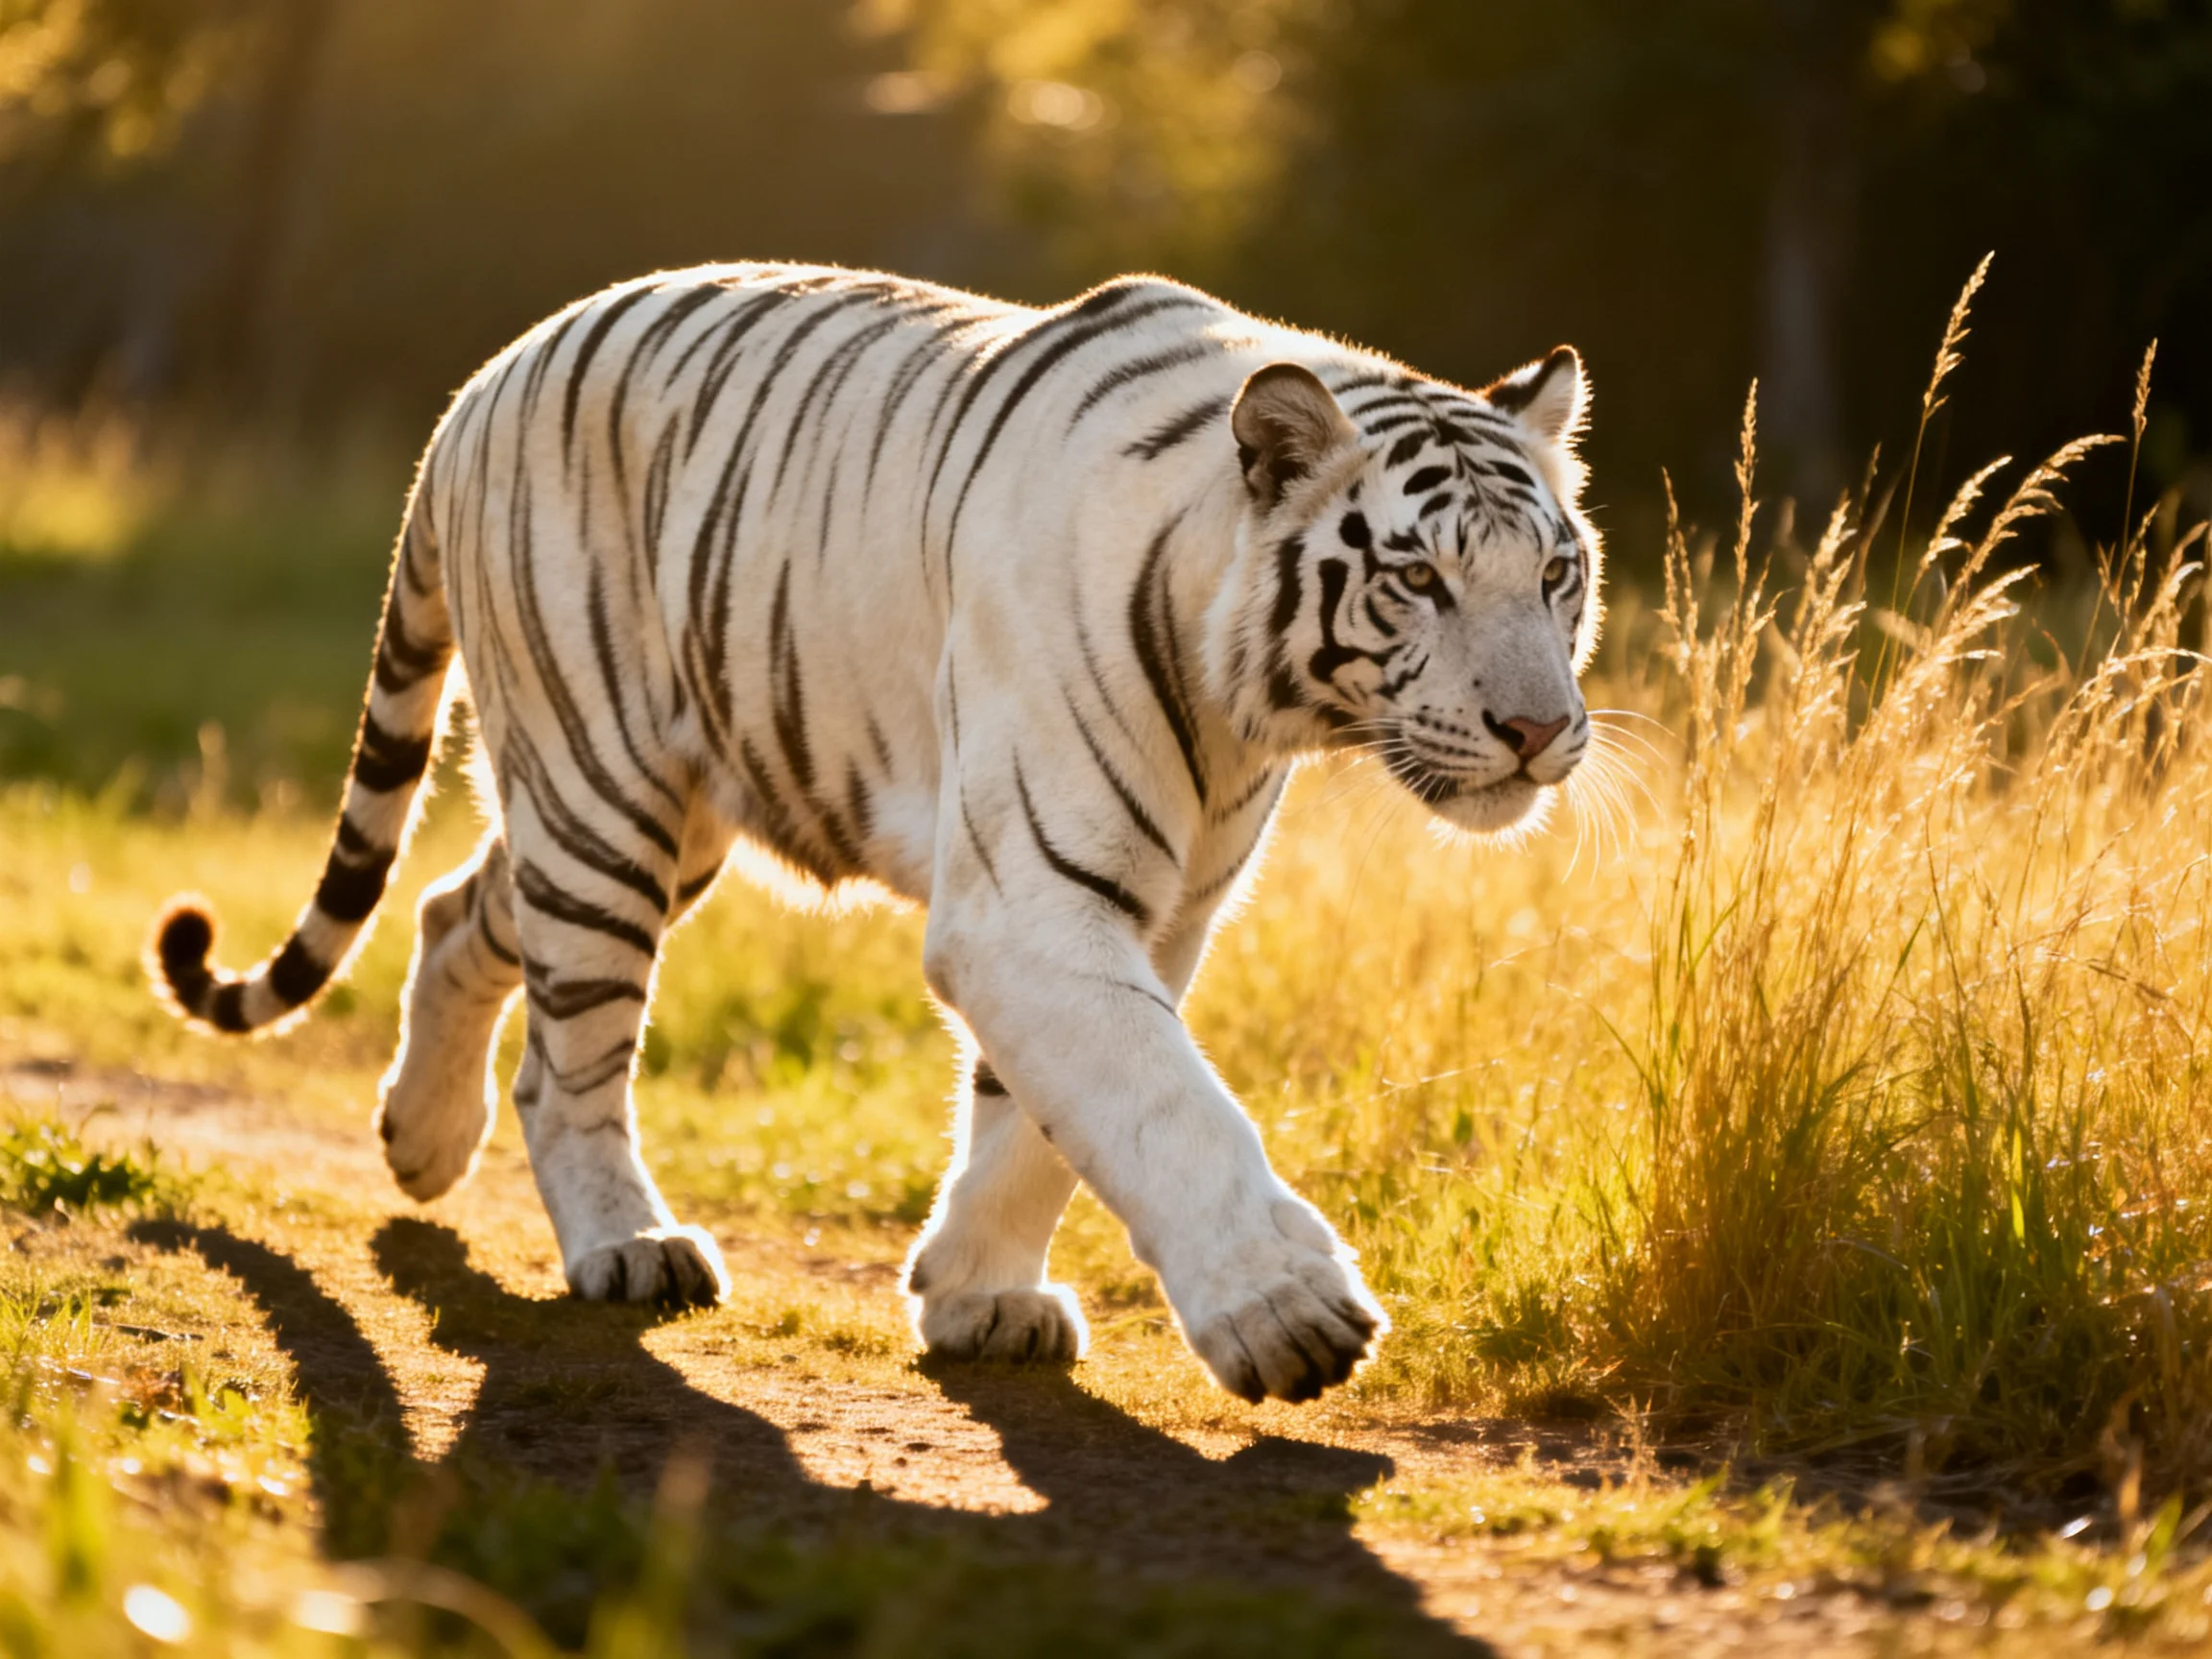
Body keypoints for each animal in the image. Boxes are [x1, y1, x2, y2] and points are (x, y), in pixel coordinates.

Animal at [148, 263, 1600, 1404]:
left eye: (1556, 574)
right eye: (1417, 578)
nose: (1539, 729)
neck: (1254, 702)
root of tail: (477, 388)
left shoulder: (1150, 910)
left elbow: (1040, 1123)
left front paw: (979, 1296)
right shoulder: (1032, 904)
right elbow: (1163, 1102)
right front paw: (1288, 1314)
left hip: (660, 819)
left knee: (461, 910)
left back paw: (419, 1140)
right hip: (603, 795)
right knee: (569, 1066)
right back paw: (626, 1247)